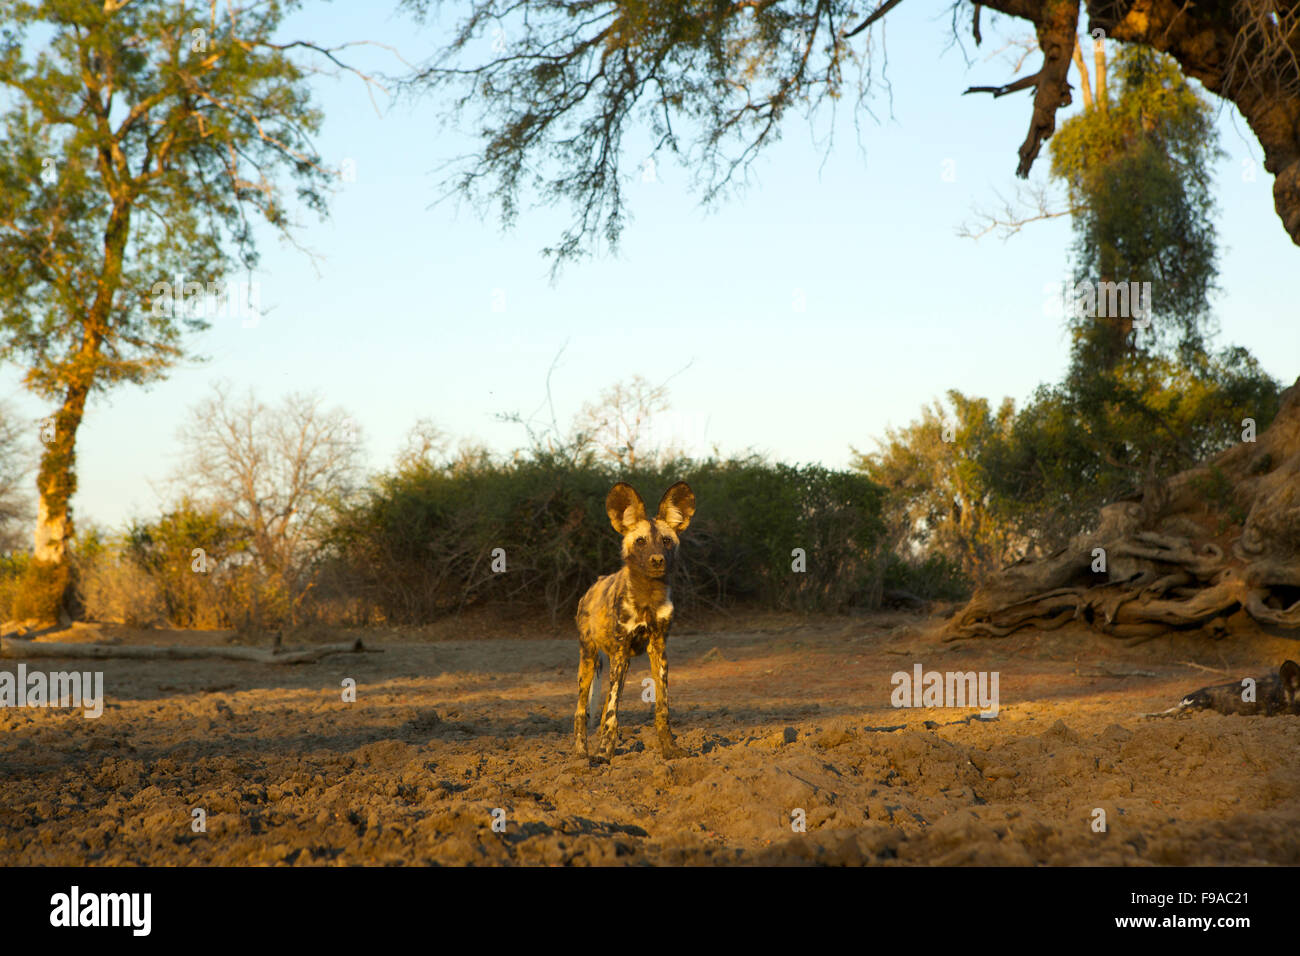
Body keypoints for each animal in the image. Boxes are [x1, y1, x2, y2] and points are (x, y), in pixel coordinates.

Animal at [569, 486, 691, 764]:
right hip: (590, 660)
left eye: (666, 541)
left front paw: (670, 750)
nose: (657, 560)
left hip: (619, 663)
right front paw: (603, 754)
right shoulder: (621, 649)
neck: (648, 597)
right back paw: (582, 754)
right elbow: (612, 712)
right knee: (581, 710)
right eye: (641, 541)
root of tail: (591, 587)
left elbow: (662, 709)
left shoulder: (658, 649)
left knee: (604, 706)